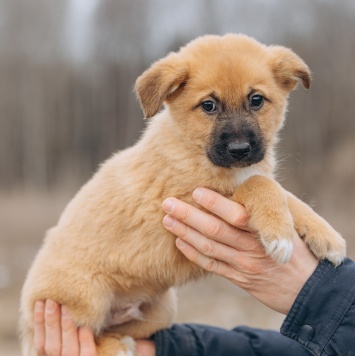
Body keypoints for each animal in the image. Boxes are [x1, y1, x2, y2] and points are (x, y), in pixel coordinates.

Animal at [20, 32, 348, 354]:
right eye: (208, 105)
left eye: (256, 100)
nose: (240, 150)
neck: (194, 149)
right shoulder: (187, 202)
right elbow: (259, 185)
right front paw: (279, 232)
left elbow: (284, 193)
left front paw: (326, 237)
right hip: (87, 298)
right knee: (88, 335)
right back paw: (114, 347)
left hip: (161, 309)